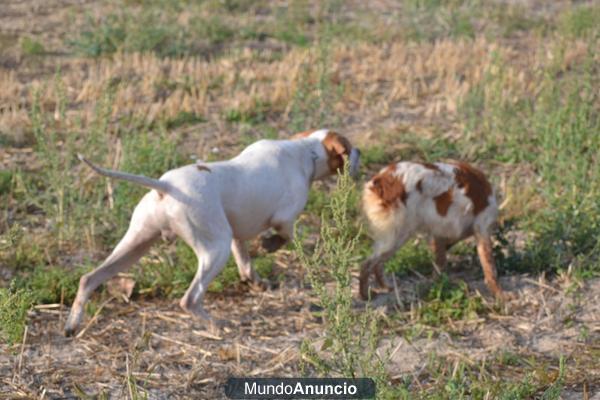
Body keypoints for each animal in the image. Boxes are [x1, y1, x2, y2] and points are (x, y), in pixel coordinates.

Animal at [64, 130, 360, 336]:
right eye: (348, 148)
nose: (360, 152)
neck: (305, 152)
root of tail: (166, 186)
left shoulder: (237, 234)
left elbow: (245, 261)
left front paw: (255, 280)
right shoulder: (285, 219)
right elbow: (283, 237)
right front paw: (269, 246)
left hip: (135, 245)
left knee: (89, 279)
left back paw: (72, 324)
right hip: (214, 249)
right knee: (189, 299)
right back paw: (217, 325)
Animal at [358, 162, 504, 300]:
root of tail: (379, 180)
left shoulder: (440, 233)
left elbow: (440, 261)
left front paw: (437, 284)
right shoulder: (482, 229)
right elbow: (490, 268)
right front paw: (500, 294)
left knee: (377, 264)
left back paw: (385, 287)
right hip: (396, 236)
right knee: (367, 264)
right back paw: (365, 296)